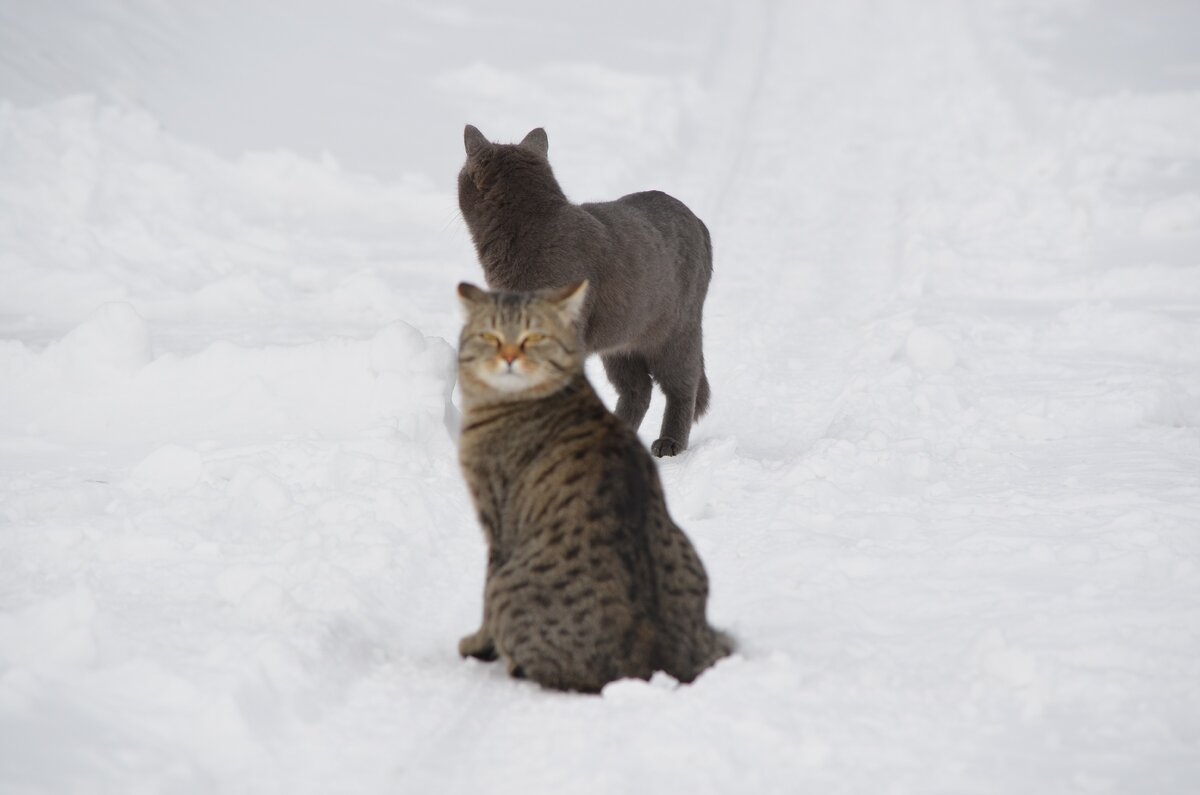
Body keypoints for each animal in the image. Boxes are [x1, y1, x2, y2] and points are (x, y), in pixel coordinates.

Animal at [451, 283, 724, 696]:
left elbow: (485, 591)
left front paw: (477, 644)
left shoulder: (496, 519)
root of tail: (651, 657)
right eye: (490, 337)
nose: (510, 357)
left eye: (535, 337)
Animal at [453, 126, 705, 458]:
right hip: (620, 343)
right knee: (638, 390)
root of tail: (698, 221)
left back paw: (669, 443)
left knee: (682, 386)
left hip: (675, 334)